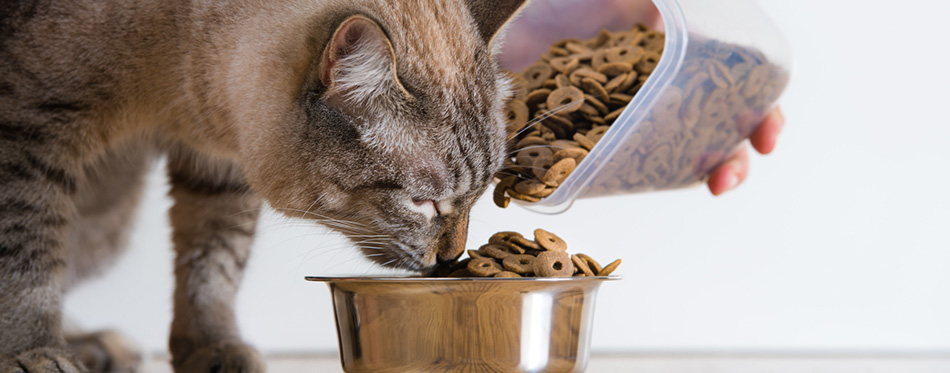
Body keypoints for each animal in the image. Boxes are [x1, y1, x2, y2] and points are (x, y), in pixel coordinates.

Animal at [0, 0, 528, 370]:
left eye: (478, 196)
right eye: (422, 202)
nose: (451, 258)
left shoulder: (218, 169)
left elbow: (212, 266)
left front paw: (213, 348)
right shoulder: (28, 135)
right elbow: (25, 261)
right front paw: (34, 354)